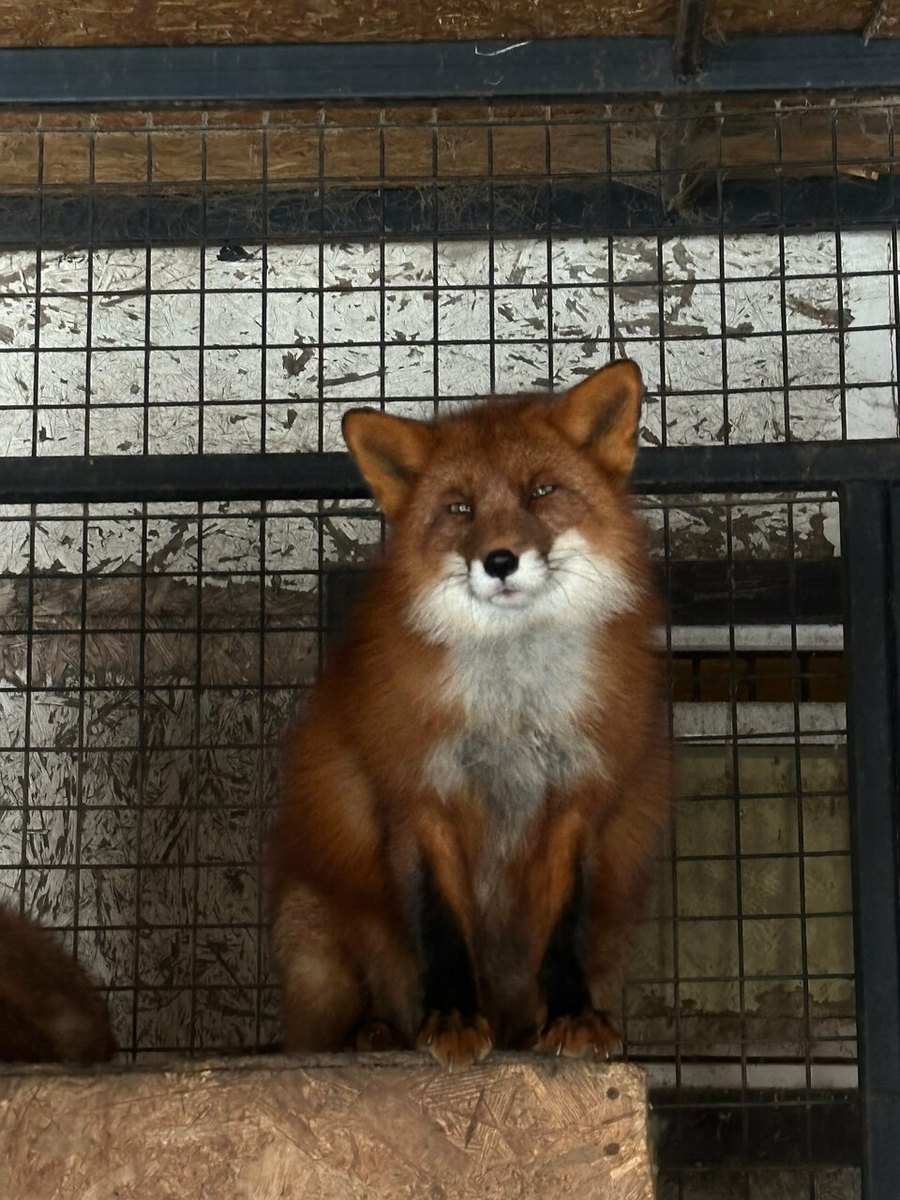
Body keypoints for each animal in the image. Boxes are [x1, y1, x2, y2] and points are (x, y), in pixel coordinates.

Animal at [268, 359, 671, 1068]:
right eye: (460, 508)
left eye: (541, 492)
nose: (500, 560)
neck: (510, 714)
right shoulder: (420, 799)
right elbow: (441, 926)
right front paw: (453, 1016)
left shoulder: (575, 803)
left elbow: (562, 928)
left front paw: (570, 1016)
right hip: (316, 936)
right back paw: (376, 1033)